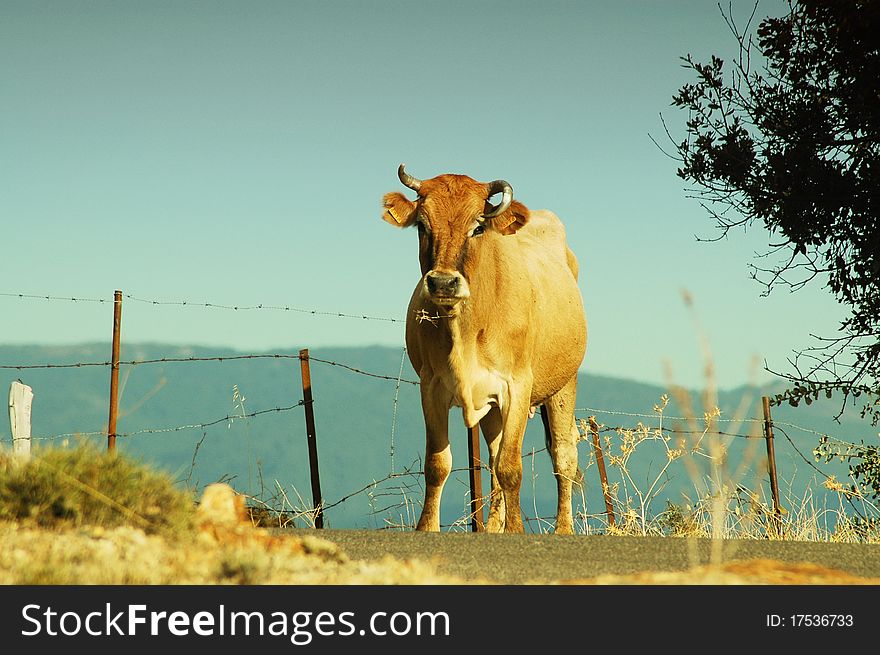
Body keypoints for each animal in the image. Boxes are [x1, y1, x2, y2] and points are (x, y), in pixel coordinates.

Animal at [382, 164, 588, 532]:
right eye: (422, 225)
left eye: (478, 226)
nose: (443, 282)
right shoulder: (430, 386)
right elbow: (438, 464)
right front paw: (427, 528)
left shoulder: (517, 386)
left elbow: (511, 467)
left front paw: (517, 530)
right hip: (492, 407)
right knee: (493, 457)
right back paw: (493, 526)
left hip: (565, 384)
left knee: (563, 456)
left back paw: (563, 528)